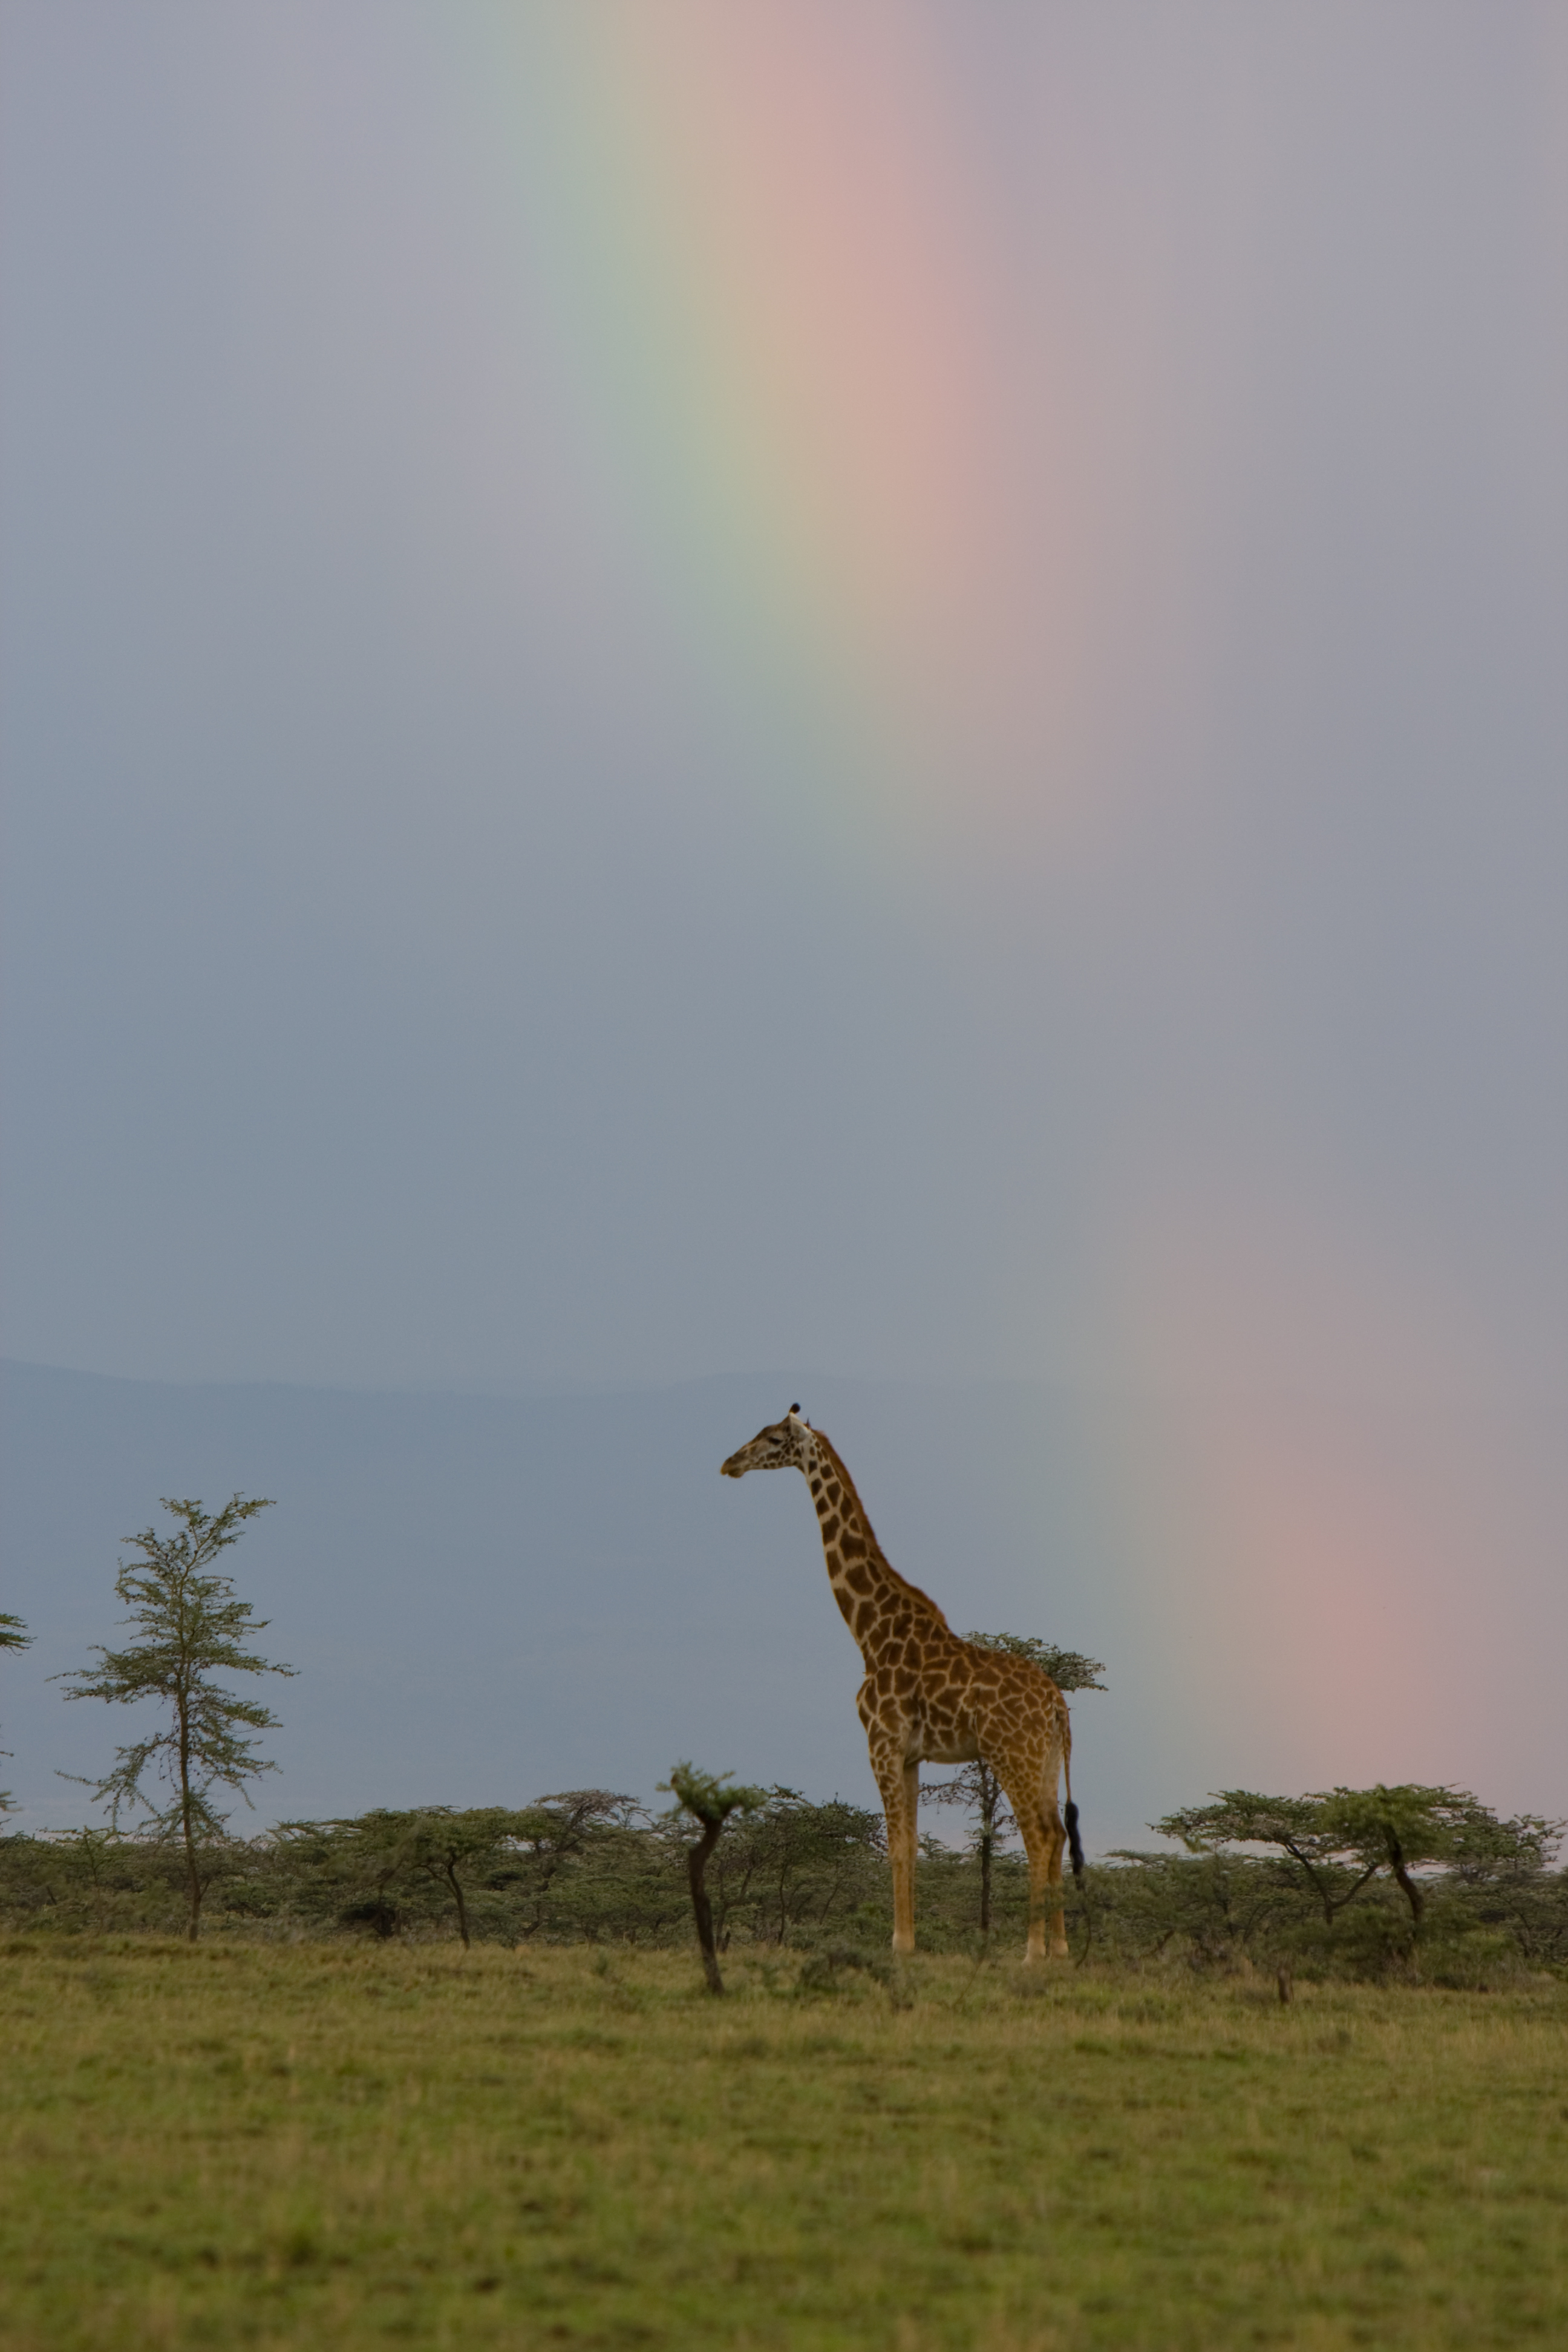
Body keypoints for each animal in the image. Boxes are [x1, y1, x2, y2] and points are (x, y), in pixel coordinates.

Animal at [720, 1407, 1083, 1960]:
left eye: (775, 1438)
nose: (730, 1463)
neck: (871, 1633)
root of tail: (1057, 1703)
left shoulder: (881, 1743)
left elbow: (895, 1848)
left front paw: (899, 1946)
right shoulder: (912, 1755)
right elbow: (910, 1847)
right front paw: (908, 1943)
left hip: (1010, 1753)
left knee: (1039, 1835)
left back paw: (1031, 1953)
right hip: (1043, 1759)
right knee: (1059, 1834)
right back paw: (1060, 1952)